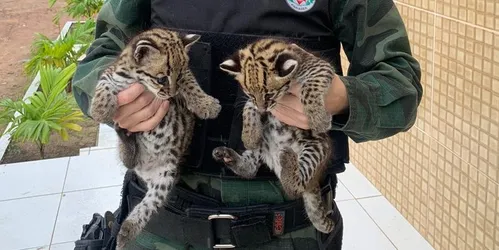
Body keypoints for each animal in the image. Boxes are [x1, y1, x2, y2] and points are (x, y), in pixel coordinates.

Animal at [89, 27, 221, 248]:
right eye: (161, 79)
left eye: (178, 76)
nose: (171, 94)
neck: (140, 81)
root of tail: (145, 168)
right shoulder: (111, 73)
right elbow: (103, 85)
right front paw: (99, 109)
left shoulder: (185, 76)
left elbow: (191, 83)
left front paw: (206, 104)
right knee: (129, 160)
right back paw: (125, 136)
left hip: (165, 176)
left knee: (149, 203)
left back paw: (127, 229)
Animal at [213, 38, 338, 233]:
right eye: (249, 92)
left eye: (270, 94)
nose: (263, 109)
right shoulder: (253, 103)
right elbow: (248, 107)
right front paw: (249, 135)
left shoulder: (318, 66)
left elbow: (309, 89)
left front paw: (318, 118)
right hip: (262, 147)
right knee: (250, 170)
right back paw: (226, 155)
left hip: (317, 146)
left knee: (294, 189)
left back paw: (287, 160)